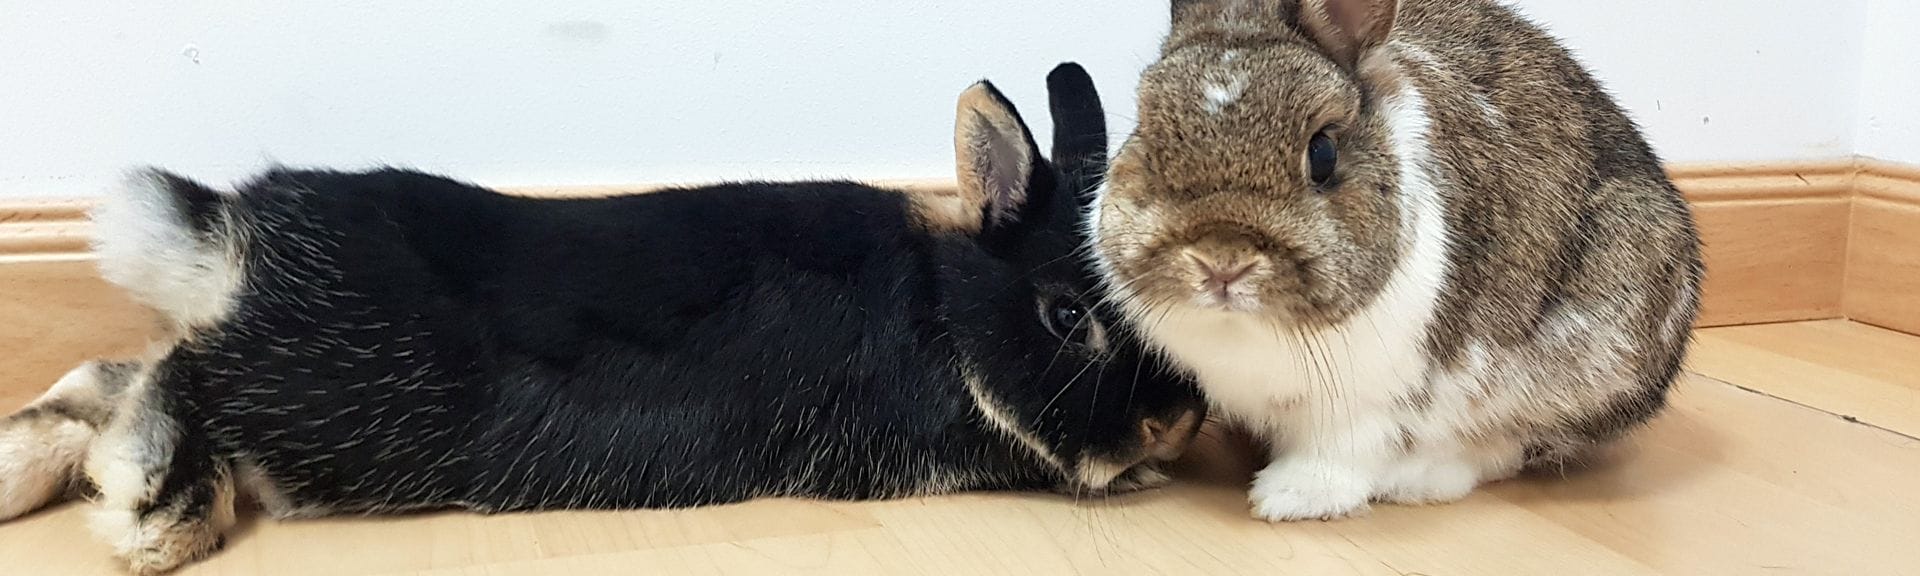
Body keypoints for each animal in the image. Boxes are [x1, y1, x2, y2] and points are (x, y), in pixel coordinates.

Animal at [0, 63, 1207, 574]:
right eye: (1066, 314)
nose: (1181, 421)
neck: (942, 306)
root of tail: (232, 235)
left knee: (119, 371)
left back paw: (21, 472)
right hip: (348, 404)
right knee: (179, 377)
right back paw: (153, 506)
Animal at [1088, 0, 1704, 521]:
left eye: (1322, 154)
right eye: (1147, 139)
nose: (1221, 262)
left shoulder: (1366, 402)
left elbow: (1342, 452)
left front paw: (1288, 499)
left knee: (1511, 445)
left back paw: (1420, 480)